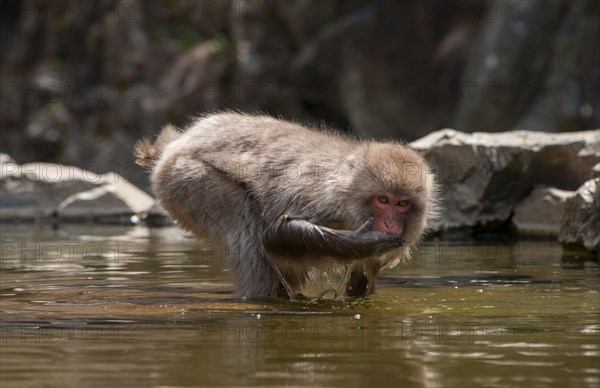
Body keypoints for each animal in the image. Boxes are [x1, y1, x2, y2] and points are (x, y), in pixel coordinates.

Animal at [135, 112, 436, 300]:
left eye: (402, 204)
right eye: (383, 200)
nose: (390, 223)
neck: (346, 195)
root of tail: (177, 143)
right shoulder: (319, 197)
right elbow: (275, 232)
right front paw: (359, 242)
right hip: (187, 179)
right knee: (247, 232)